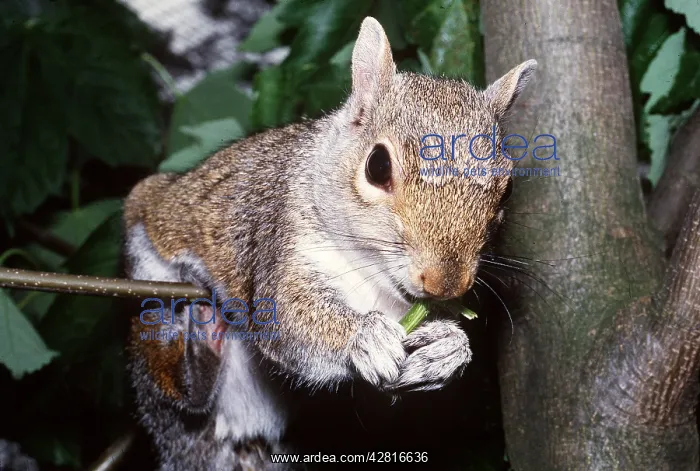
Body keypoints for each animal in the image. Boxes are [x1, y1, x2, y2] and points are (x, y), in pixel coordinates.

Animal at [123, 16, 536, 471]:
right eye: (377, 166)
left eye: (508, 189)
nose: (445, 283)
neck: (372, 276)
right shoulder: (280, 245)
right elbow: (288, 316)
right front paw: (364, 337)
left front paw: (448, 350)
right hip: (150, 271)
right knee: (171, 377)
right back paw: (198, 347)